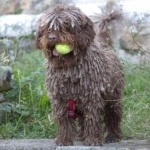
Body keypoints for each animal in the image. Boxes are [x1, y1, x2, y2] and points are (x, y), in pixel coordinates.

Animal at [36, 4, 124, 146]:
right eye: (48, 28)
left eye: (66, 25)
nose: (52, 37)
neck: (68, 68)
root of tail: (106, 46)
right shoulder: (59, 99)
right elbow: (64, 121)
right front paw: (64, 139)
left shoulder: (92, 97)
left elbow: (92, 119)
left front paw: (93, 139)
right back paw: (83, 136)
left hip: (113, 97)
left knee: (113, 116)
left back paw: (113, 136)